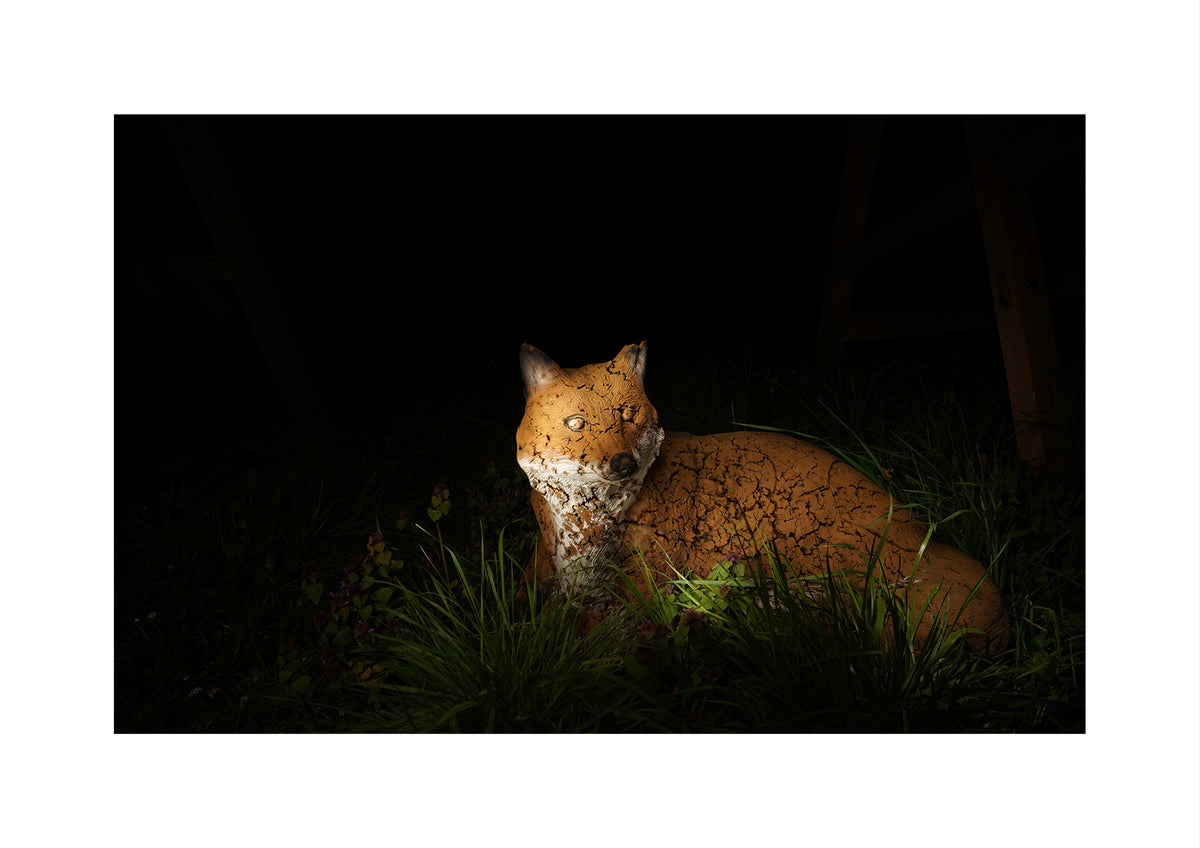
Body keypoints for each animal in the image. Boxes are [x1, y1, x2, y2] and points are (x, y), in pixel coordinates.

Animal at [516, 341, 1011, 653]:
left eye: (628, 414)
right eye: (576, 423)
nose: (623, 463)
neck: (586, 530)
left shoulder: (645, 586)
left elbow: (591, 633)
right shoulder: (549, 577)